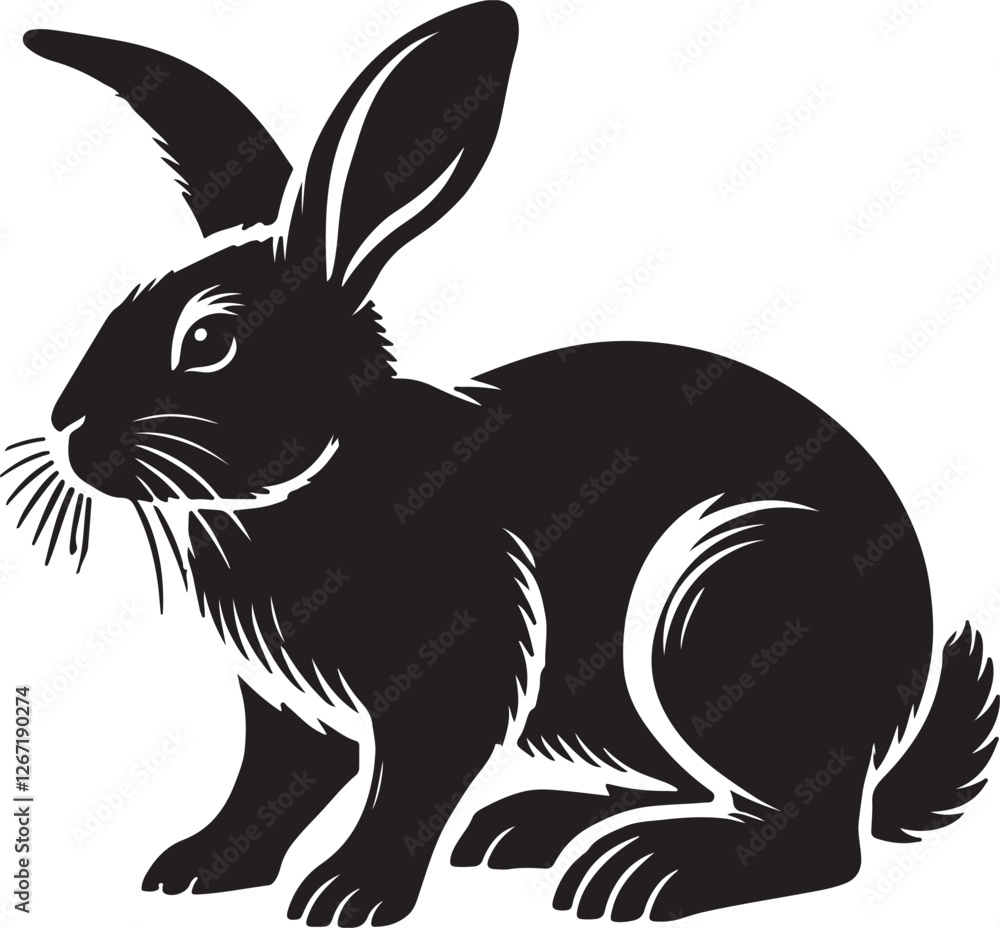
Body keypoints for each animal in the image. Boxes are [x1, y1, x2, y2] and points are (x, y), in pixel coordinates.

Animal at [5, 1, 997, 925]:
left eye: (209, 341)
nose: (66, 426)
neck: (319, 478)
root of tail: (898, 709)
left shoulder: (453, 673)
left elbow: (407, 786)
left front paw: (349, 896)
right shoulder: (284, 708)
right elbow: (271, 788)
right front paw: (196, 870)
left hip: (723, 607)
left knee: (816, 837)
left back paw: (647, 872)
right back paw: (535, 829)